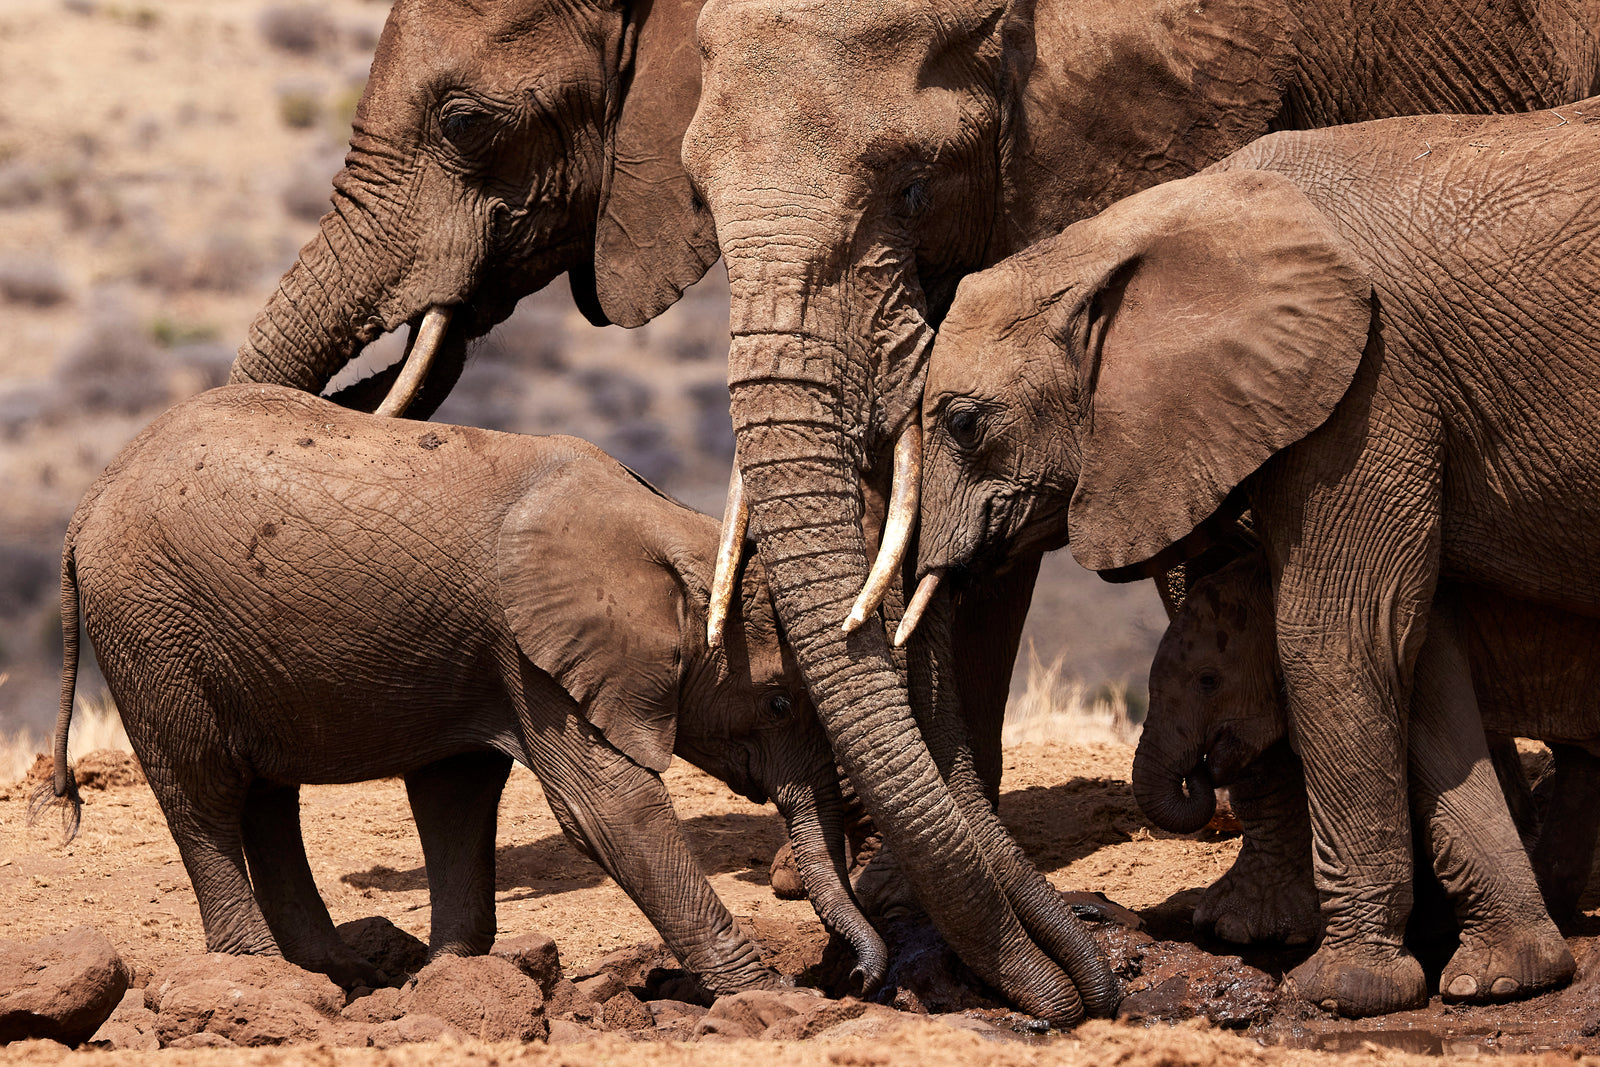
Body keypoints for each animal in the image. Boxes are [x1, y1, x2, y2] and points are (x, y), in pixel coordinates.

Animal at [34, 383, 887, 995]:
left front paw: (451, 973)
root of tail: (84, 505)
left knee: (266, 798)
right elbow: (606, 811)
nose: (858, 977)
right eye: (778, 700)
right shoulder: (530, 652)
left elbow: (458, 794)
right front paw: (771, 995)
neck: (669, 526)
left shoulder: (479, 654)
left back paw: (345, 976)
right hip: (153, 627)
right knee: (204, 795)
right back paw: (265, 972)